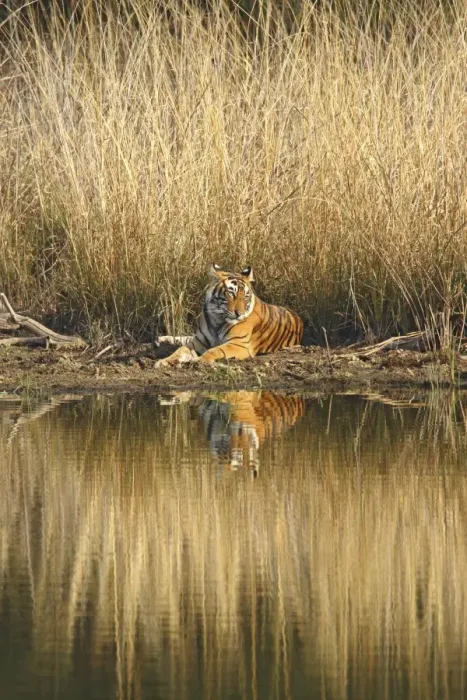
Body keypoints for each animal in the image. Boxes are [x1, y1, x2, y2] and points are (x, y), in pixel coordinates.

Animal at [156, 264, 303, 365]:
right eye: (231, 293)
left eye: (245, 296)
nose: (239, 314)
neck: (217, 319)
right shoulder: (198, 341)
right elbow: (180, 349)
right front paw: (165, 361)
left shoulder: (239, 344)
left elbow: (215, 350)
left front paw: (198, 360)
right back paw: (161, 339)